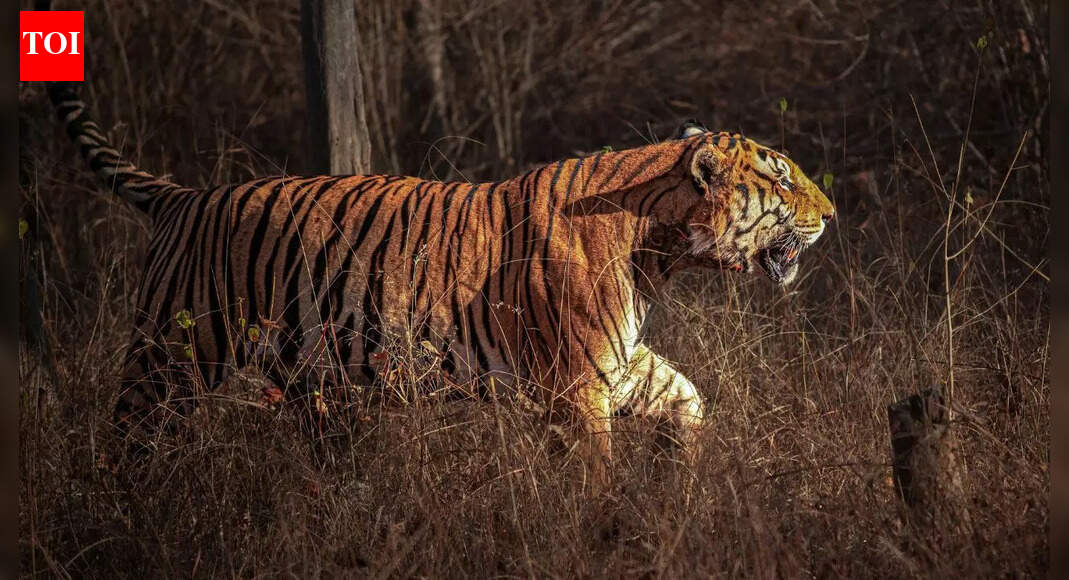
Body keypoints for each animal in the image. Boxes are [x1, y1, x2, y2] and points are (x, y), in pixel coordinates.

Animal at [47, 82, 835, 489]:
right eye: (780, 178)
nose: (831, 214)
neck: (659, 248)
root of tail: (182, 197)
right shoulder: (576, 383)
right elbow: (593, 475)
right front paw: (608, 528)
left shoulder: (618, 365)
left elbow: (688, 397)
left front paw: (679, 482)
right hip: (169, 359)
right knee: (123, 442)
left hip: (310, 381)